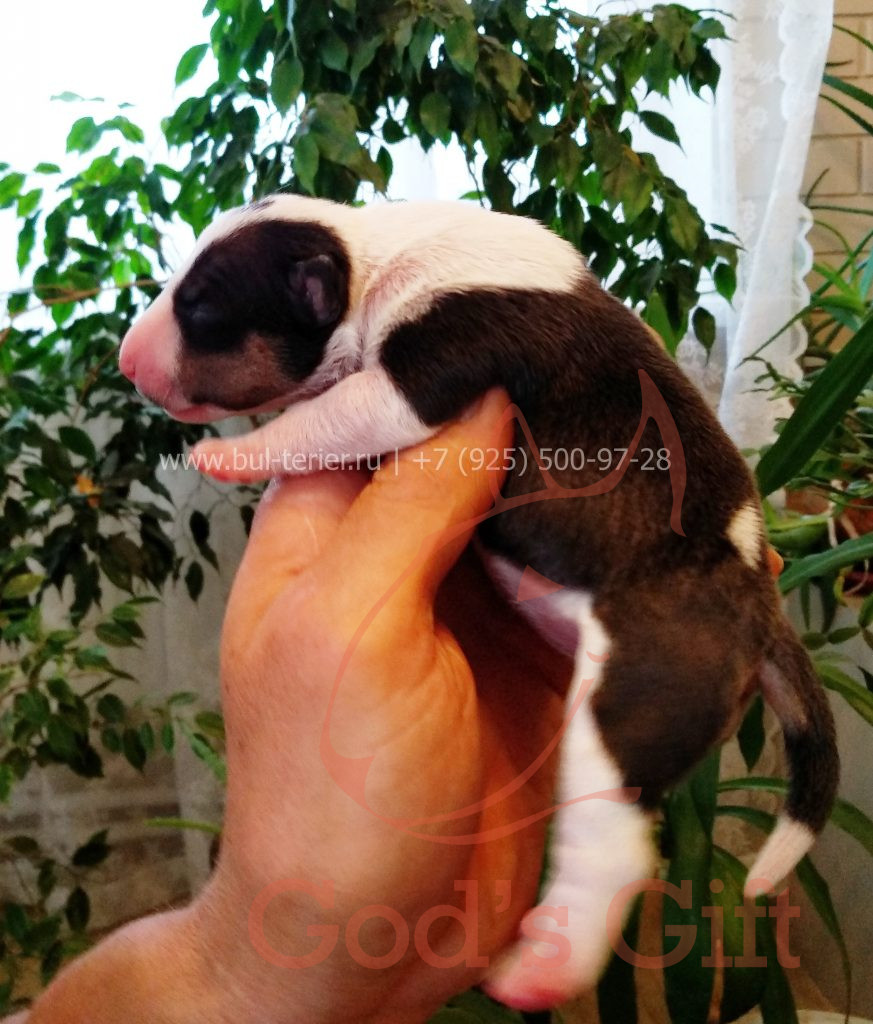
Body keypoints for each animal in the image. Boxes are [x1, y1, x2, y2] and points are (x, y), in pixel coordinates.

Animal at [119, 195, 838, 1010]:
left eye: (203, 305)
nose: (125, 359)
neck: (369, 260)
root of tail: (761, 612)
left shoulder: (426, 371)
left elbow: (333, 415)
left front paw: (231, 453)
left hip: (641, 696)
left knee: (613, 844)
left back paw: (542, 969)